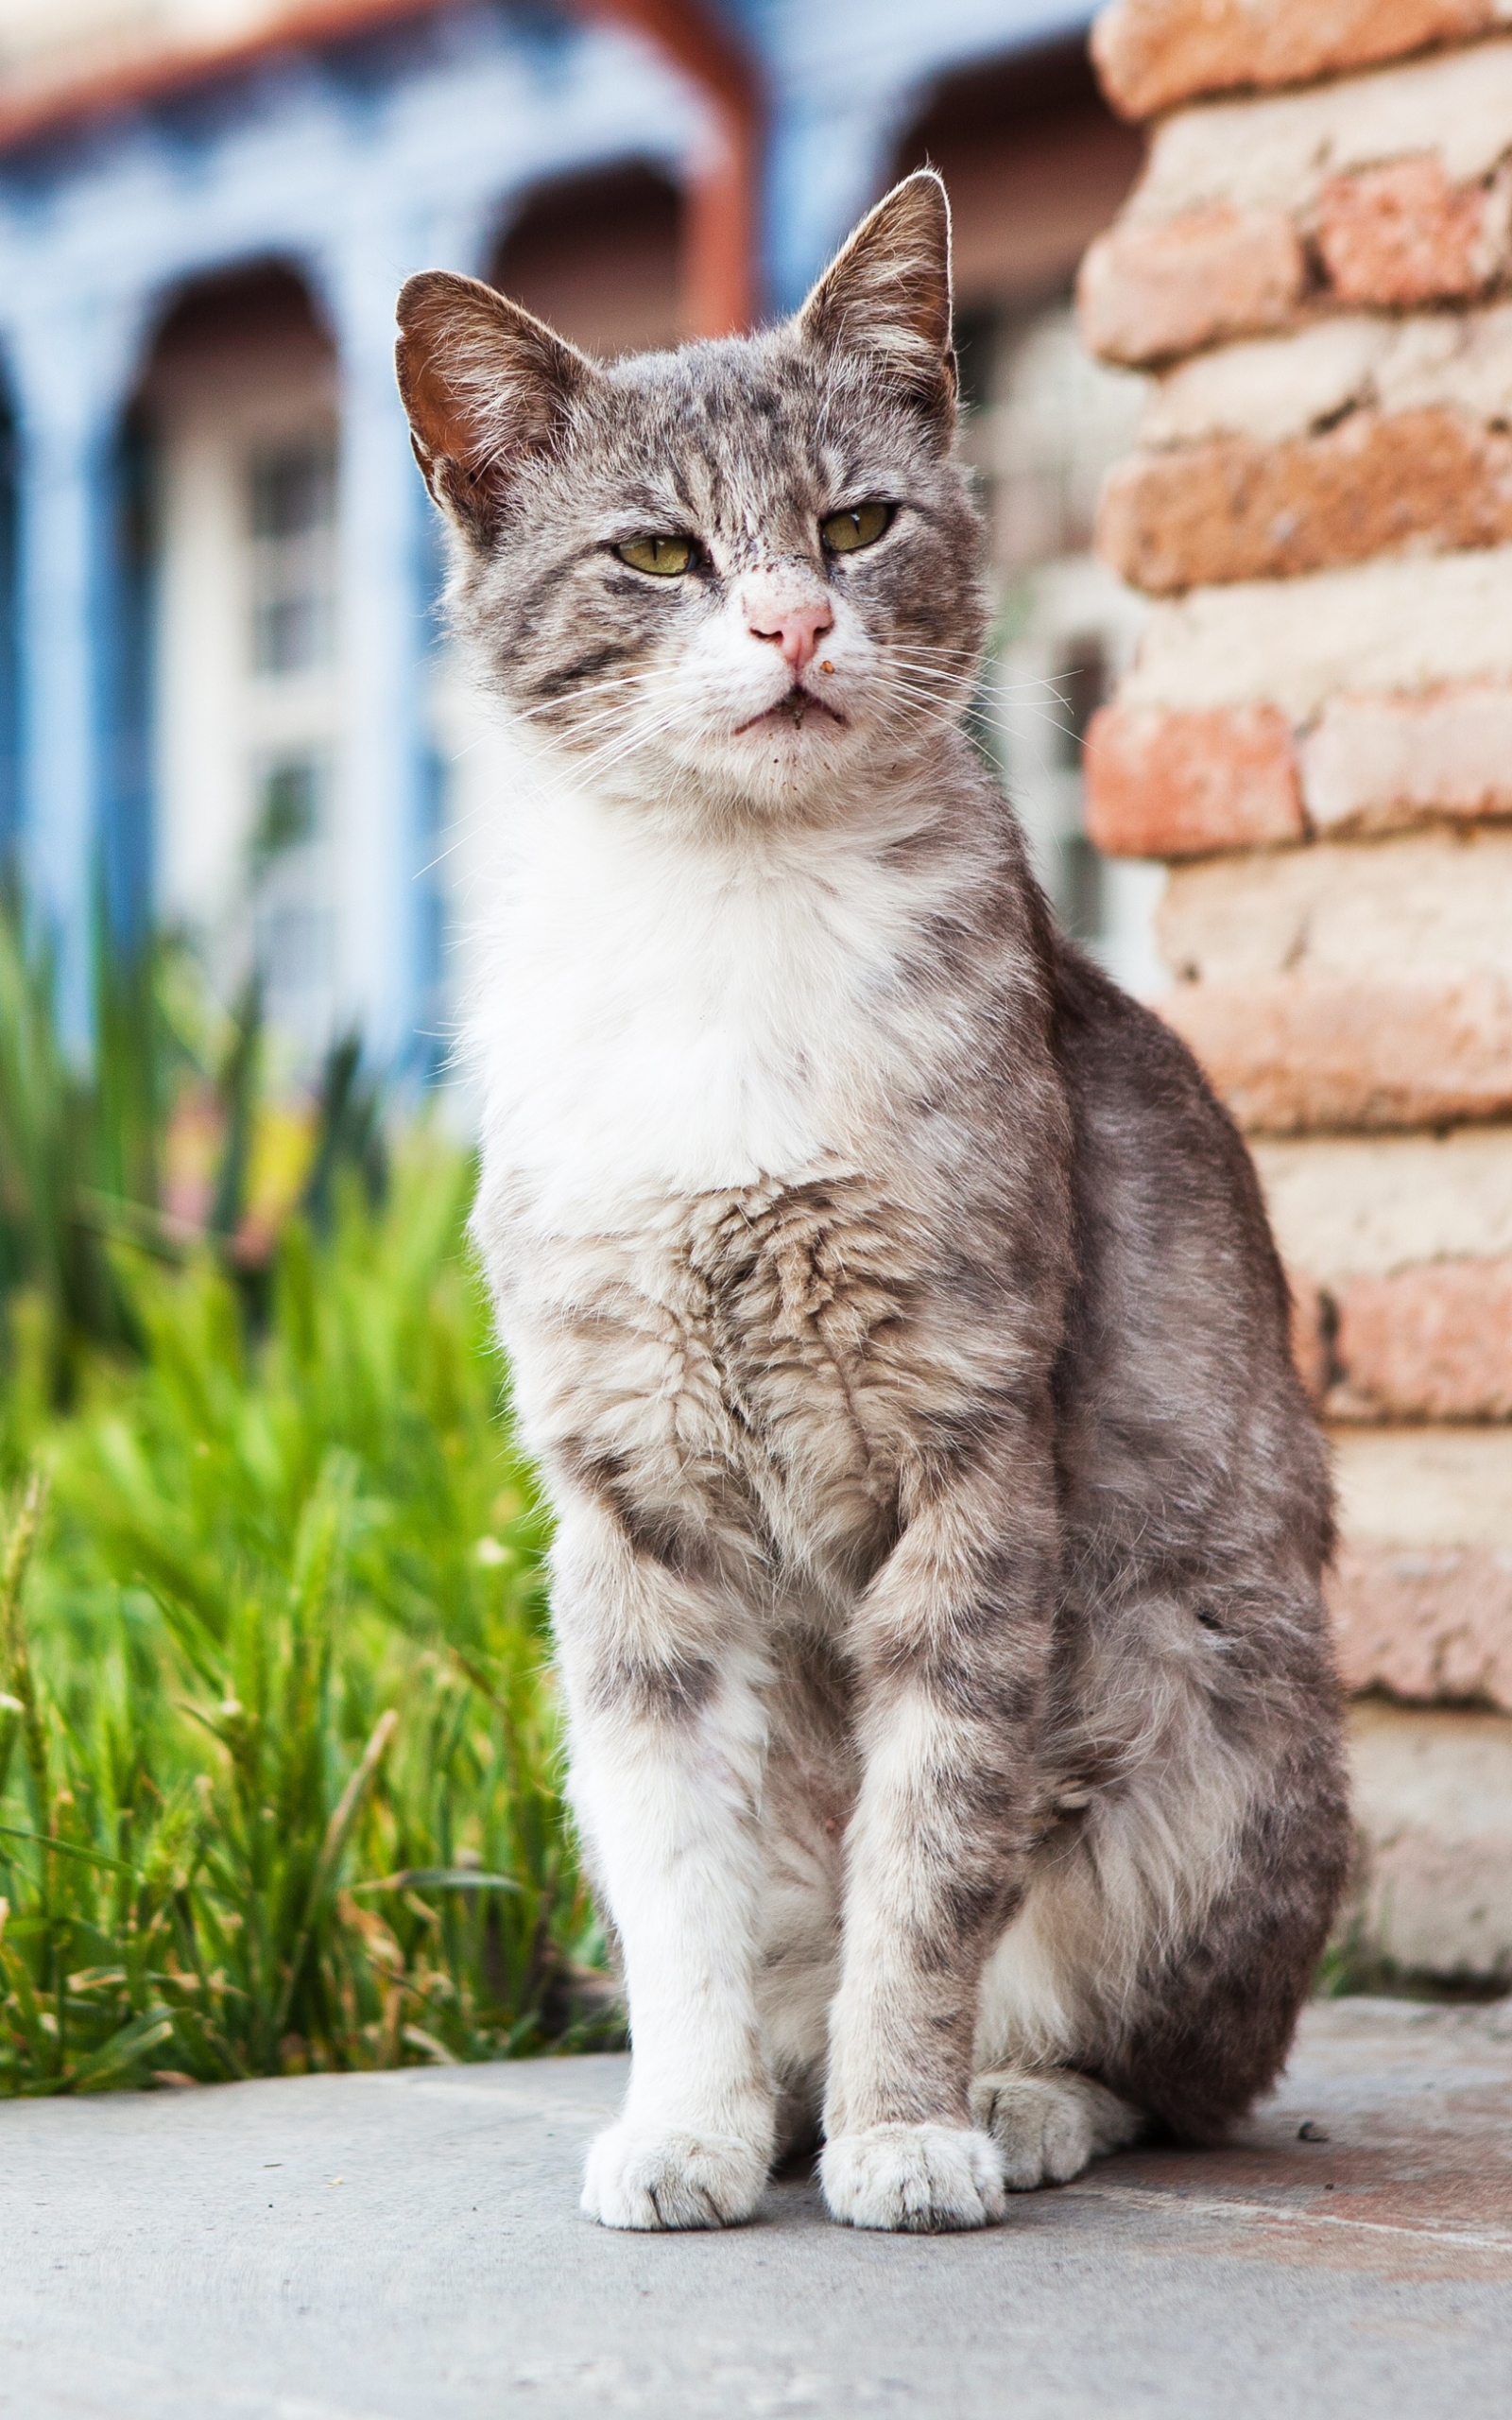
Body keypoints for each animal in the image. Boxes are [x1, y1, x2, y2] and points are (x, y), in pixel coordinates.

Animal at [394, 179, 1354, 2236]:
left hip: (1205, 1723)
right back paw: (773, 2096)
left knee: (1173, 2067)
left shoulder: (974, 1460)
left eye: (852, 522)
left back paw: (1014, 2097)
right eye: (657, 551)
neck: (731, 927)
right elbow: (678, 1879)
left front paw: (906, 2128)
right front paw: (689, 2126)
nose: (789, 619)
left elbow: (927, 1861)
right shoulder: (629, 1511)